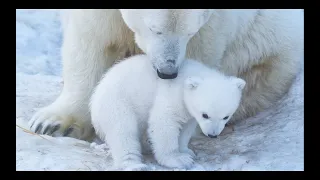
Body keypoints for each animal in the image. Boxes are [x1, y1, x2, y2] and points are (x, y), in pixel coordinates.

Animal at [29, 9, 302, 141]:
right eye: (154, 29)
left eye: (190, 31)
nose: (167, 71)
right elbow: (91, 38)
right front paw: (53, 123)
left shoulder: (213, 24)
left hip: (267, 46)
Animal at [91, 54, 246, 169]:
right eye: (205, 115)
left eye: (226, 117)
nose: (212, 135)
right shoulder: (172, 94)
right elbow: (163, 123)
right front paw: (178, 159)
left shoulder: (188, 111)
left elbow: (186, 128)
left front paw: (186, 151)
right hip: (117, 103)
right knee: (123, 132)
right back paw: (133, 164)